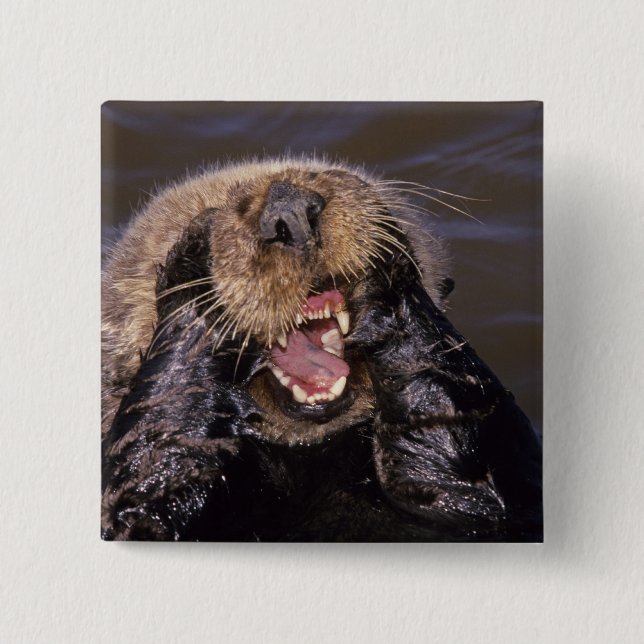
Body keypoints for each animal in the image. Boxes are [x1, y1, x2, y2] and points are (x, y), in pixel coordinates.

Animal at [101, 158, 542, 542]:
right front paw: (194, 260)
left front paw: (388, 274)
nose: (289, 208)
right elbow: (148, 490)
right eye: (228, 204)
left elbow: (478, 476)